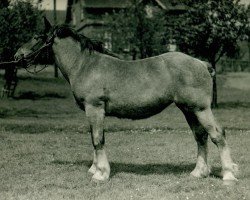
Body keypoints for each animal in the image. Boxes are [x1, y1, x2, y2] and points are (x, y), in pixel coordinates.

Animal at [14, 18, 237, 184]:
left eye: (36, 36)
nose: (17, 56)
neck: (85, 64)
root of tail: (201, 63)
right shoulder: (92, 112)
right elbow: (94, 137)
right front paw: (94, 168)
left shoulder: (94, 108)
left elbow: (98, 139)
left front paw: (100, 174)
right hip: (188, 110)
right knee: (200, 137)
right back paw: (199, 172)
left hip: (201, 109)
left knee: (217, 135)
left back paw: (228, 174)